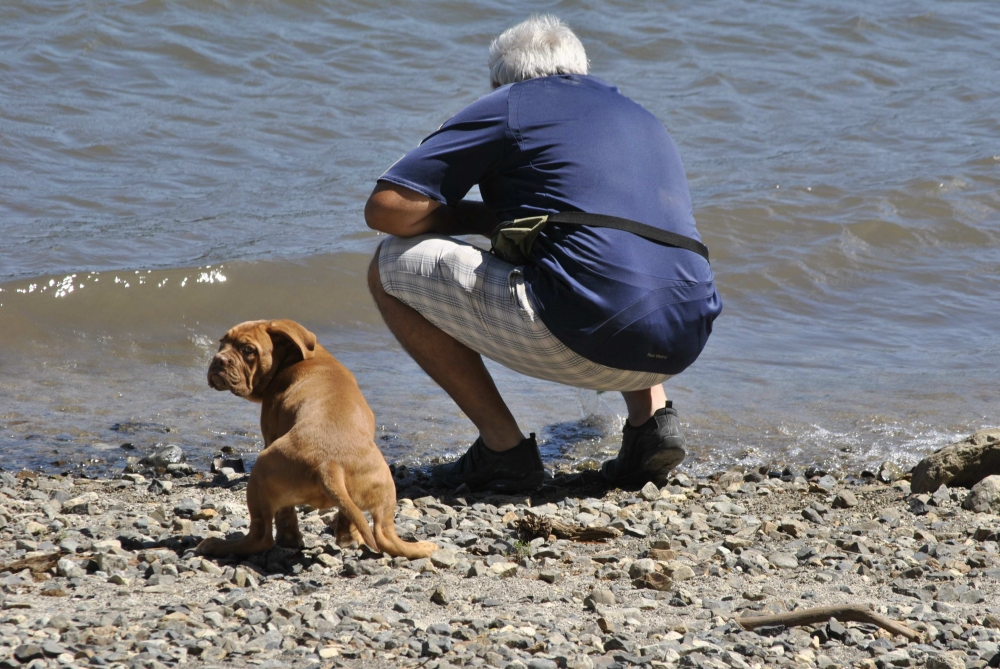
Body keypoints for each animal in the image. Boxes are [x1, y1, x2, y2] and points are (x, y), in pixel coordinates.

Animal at [197, 318, 436, 560]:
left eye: (248, 350)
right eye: (222, 343)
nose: (218, 360)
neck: (297, 358)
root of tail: (328, 464)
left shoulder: (270, 434)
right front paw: (347, 538)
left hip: (259, 477)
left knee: (261, 536)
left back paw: (219, 545)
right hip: (383, 491)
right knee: (384, 535)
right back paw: (422, 548)